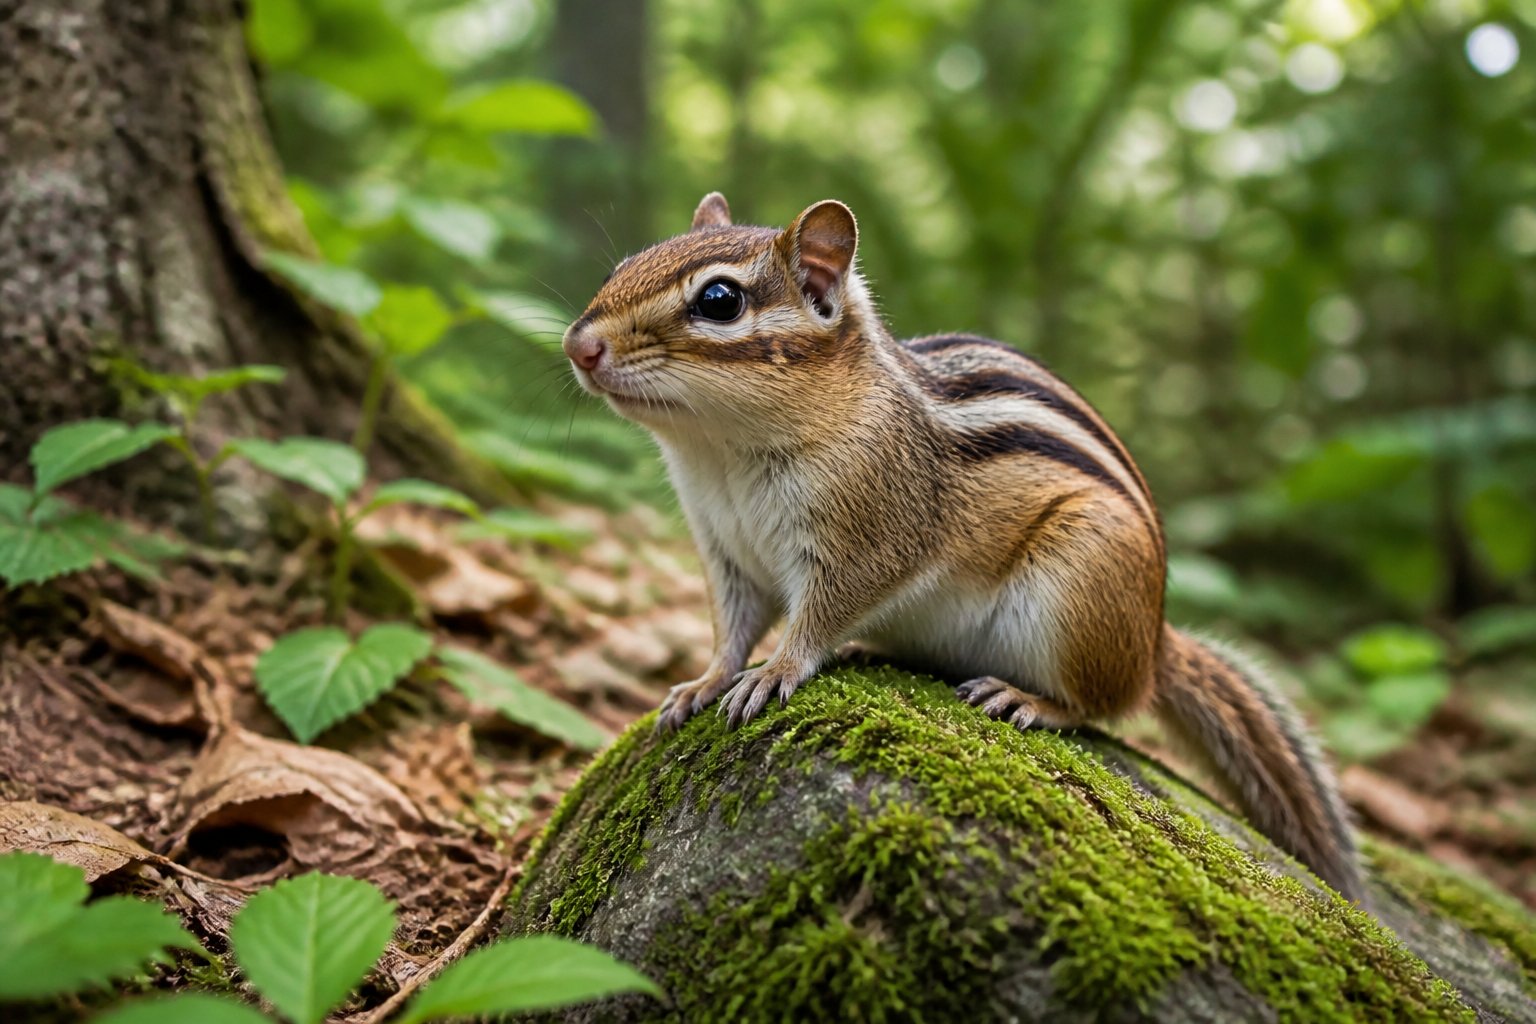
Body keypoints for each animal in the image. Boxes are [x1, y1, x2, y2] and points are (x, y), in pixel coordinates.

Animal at [561, 192, 1365, 904]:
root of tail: (1154, 642)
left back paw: (1028, 700)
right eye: (627, 263)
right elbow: (731, 628)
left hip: (1078, 589)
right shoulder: (726, 552)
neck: (721, 452)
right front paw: (702, 683)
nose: (579, 344)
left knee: (1103, 704)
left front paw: (778, 670)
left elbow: (819, 615)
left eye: (720, 300)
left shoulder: (871, 535)